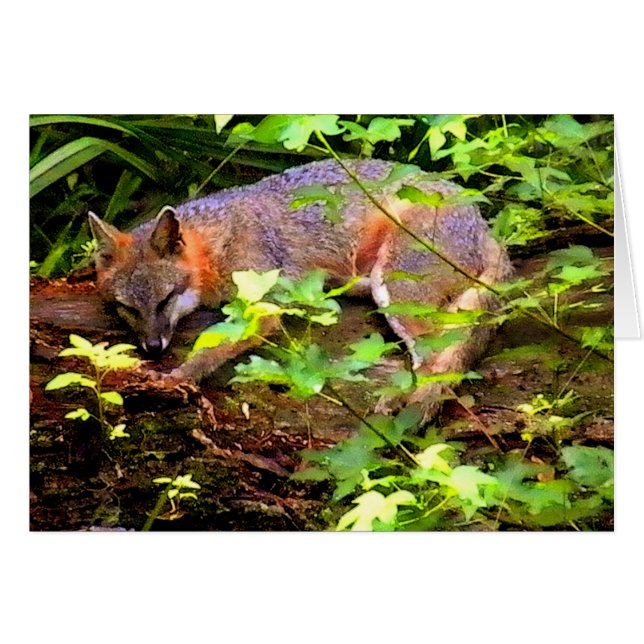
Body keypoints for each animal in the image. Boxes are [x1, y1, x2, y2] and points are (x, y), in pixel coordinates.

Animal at [88, 158, 512, 421]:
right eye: (128, 308)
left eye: (165, 300)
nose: (152, 347)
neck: (214, 242)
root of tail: (485, 224)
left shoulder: (266, 304)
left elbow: (213, 348)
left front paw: (180, 375)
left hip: (394, 289)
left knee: (438, 359)